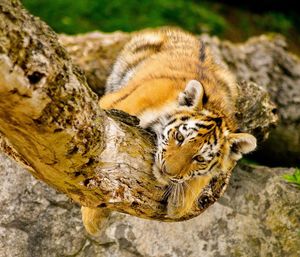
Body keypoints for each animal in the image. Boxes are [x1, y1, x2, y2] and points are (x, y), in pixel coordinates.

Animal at [81, 28, 256, 234]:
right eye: (179, 137)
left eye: (199, 159)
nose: (167, 171)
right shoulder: (114, 104)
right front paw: (93, 221)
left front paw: (179, 204)